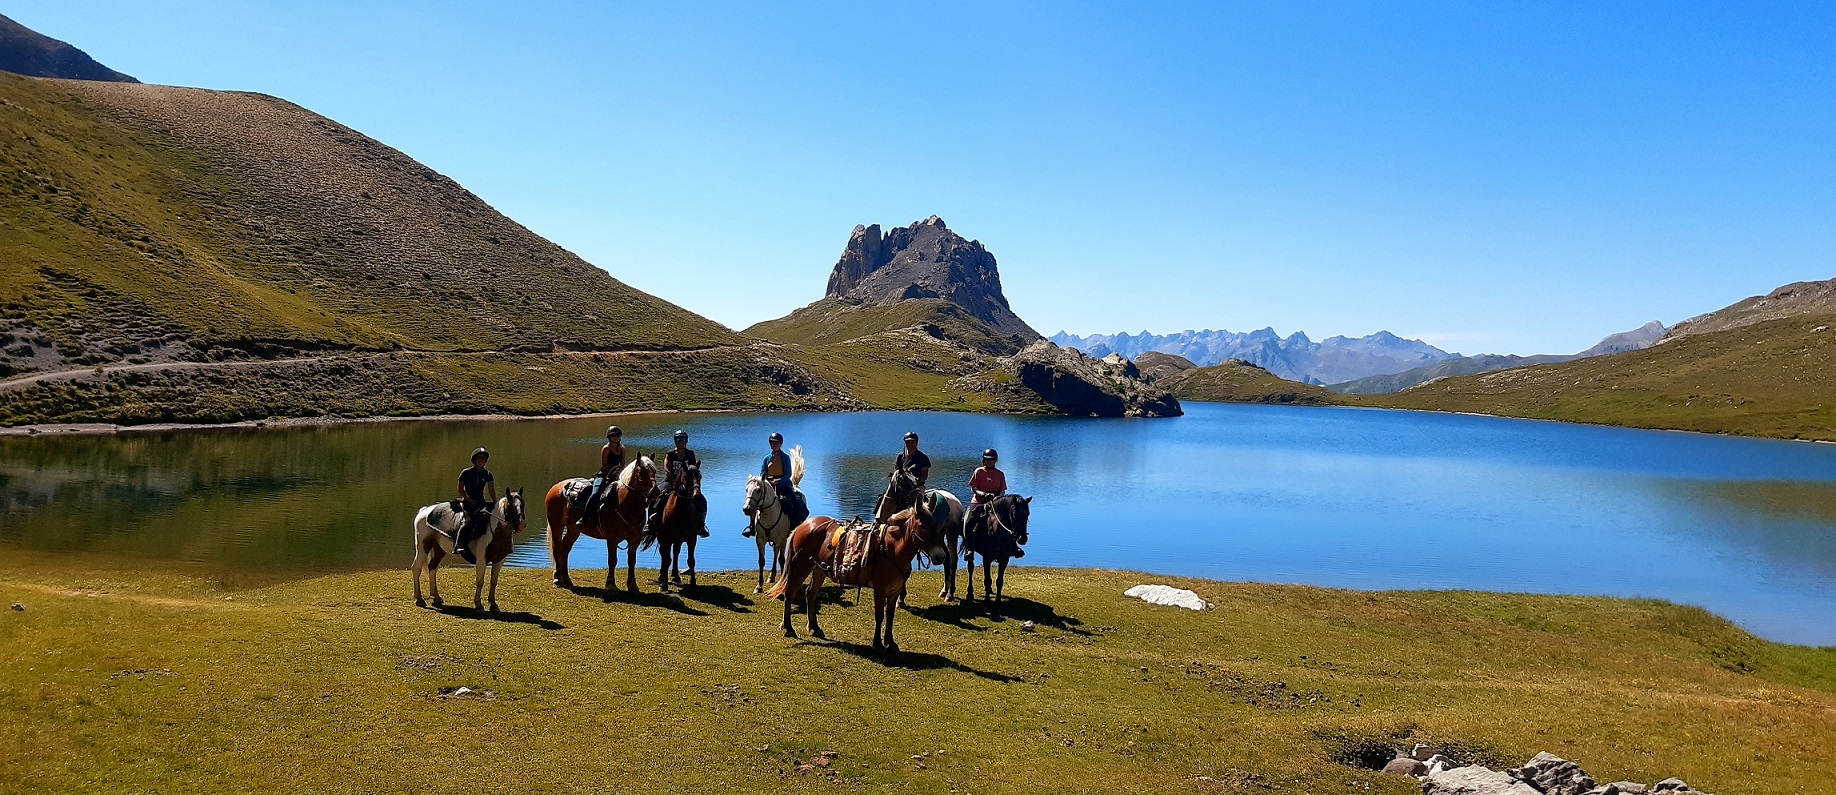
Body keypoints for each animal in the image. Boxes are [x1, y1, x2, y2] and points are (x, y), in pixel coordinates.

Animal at [539, 455, 657, 591]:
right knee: (557, 549)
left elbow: (632, 561)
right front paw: (611, 585)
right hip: (557, 525)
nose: (655, 491)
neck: (624, 504)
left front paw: (632, 585)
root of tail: (556, 486)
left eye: (654, 471)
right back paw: (557, 579)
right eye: (640, 472)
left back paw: (567, 580)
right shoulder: (612, 538)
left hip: (573, 530)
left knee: (565, 550)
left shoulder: (634, 540)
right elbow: (612, 560)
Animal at [646, 459, 701, 587]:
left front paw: (693, 583)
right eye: (686, 477)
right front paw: (664, 585)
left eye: (700, 476)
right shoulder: (666, 537)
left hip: (678, 539)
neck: (681, 512)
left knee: (676, 552)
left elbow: (691, 560)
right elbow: (666, 559)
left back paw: (676, 575)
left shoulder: (692, 538)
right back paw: (662, 576)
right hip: (662, 536)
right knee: (664, 554)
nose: (697, 496)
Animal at [741, 442, 807, 591]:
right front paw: (759, 586)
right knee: (775, 552)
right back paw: (771, 577)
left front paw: (782, 584)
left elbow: (782, 560)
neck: (769, 515)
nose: (746, 509)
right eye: (746, 490)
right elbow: (761, 561)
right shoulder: (760, 540)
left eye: (758, 490)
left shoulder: (782, 539)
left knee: (779, 555)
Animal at [767, 506, 954, 653]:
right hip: (802, 565)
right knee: (790, 592)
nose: (940, 556)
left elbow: (890, 616)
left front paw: (890, 642)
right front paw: (878, 643)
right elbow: (879, 615)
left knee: (810, 593)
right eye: (923, 526)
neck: (891, 549)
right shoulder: (880, 590)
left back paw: (814, 628)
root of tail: (804, 525)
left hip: (818, 569)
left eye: (938, 527)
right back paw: (788, 628)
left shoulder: (895, 591)